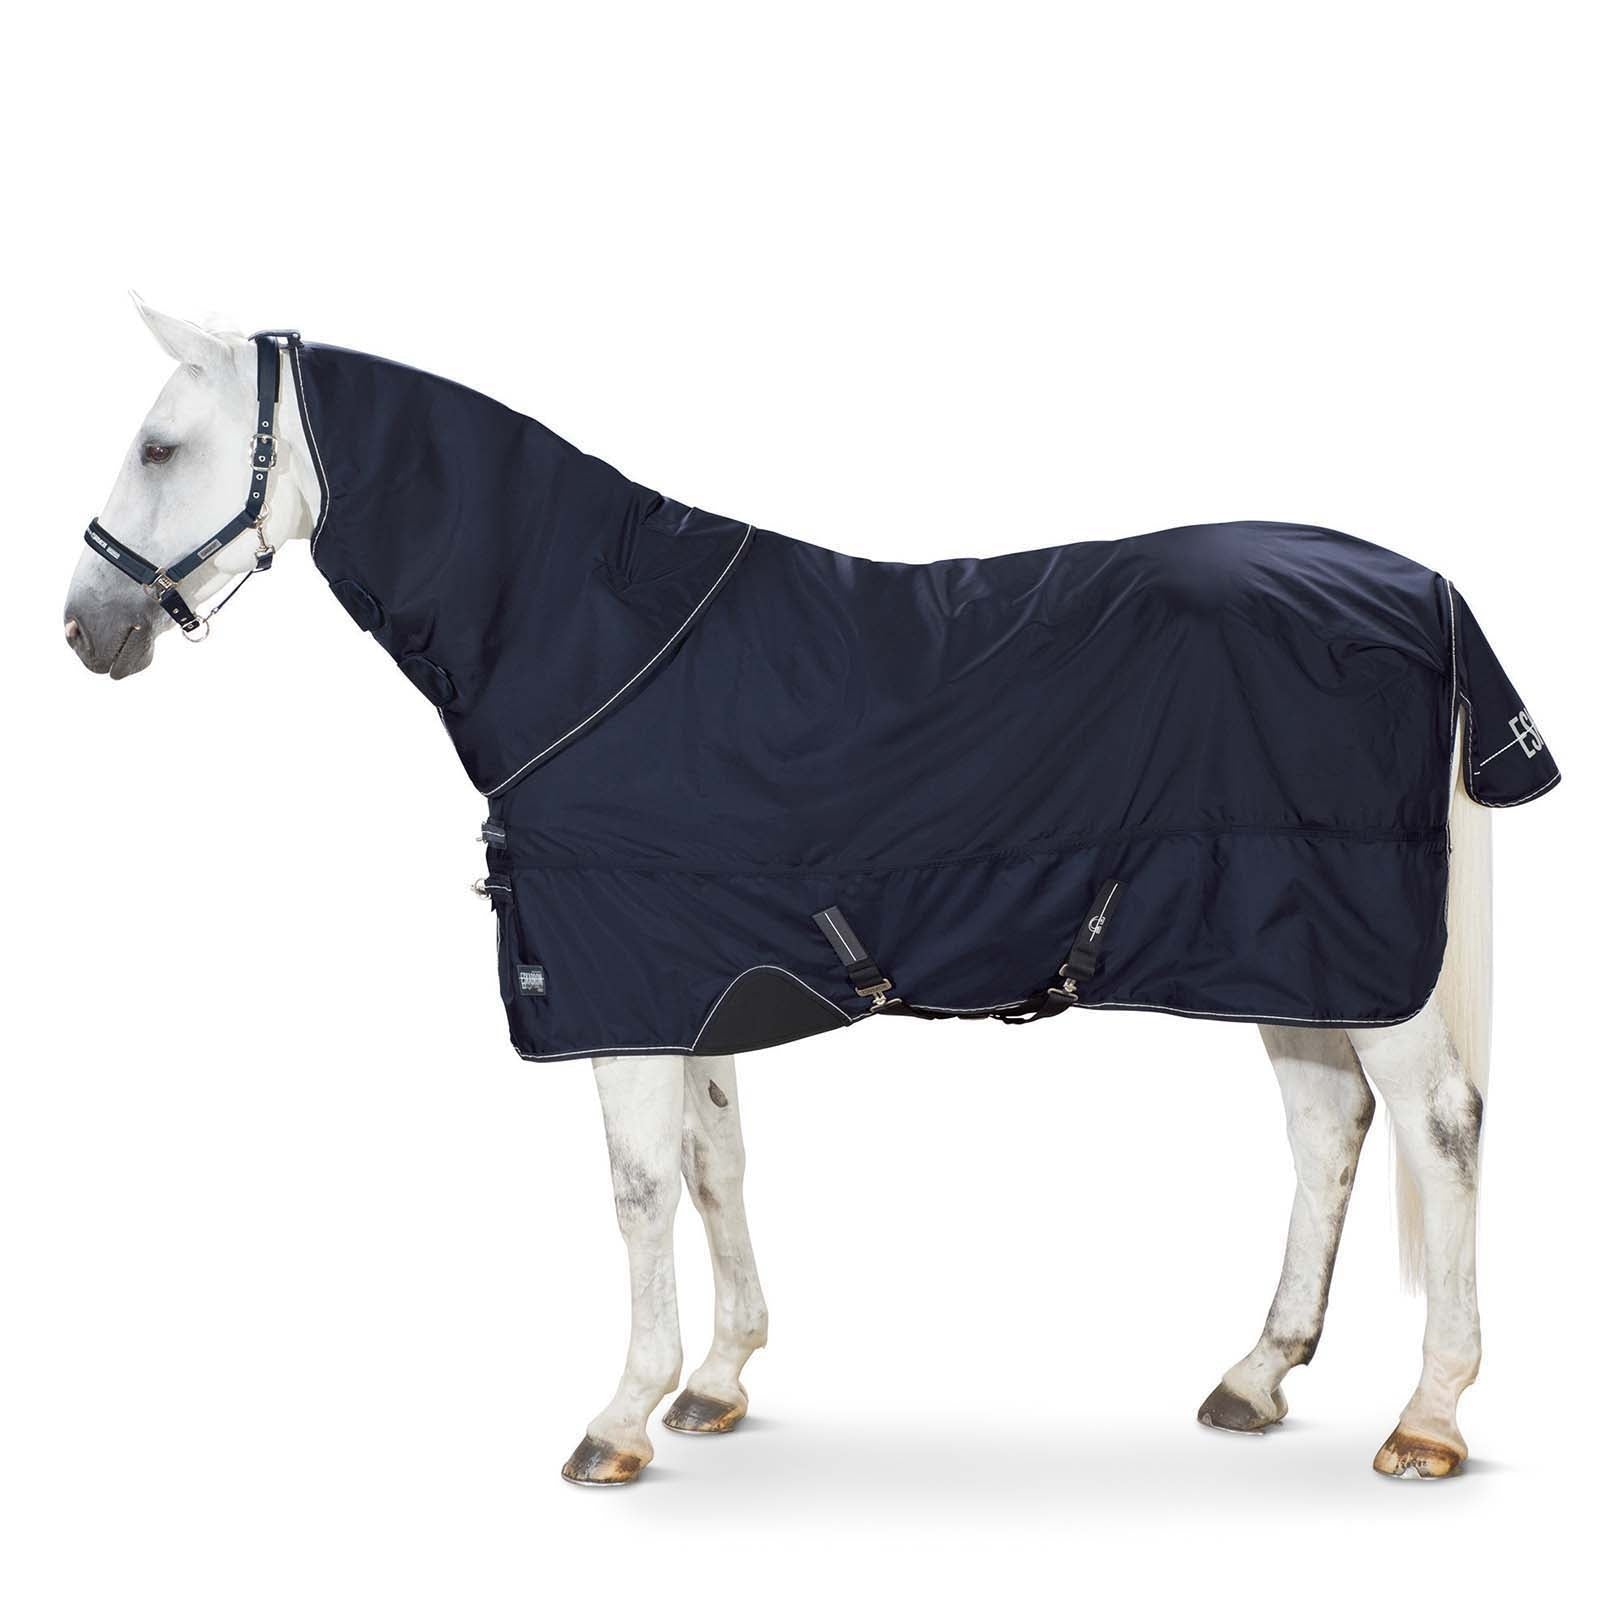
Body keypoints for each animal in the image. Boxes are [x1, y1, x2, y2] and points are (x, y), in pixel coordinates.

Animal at [64, 299, 1542, 1486]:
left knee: (1441, 1132)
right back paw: (1256, 1375)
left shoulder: (625, 984)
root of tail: (1423, 590)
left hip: (1356, 951)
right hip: (1289, 945)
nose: (86, 629)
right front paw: (717, 1382)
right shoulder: (698, 973)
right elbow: (714, 1165)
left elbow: (640, 1188)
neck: (596, 640)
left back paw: (1428, 1419)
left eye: (158, 449)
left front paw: (619, 1416)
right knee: (1326, 1129)